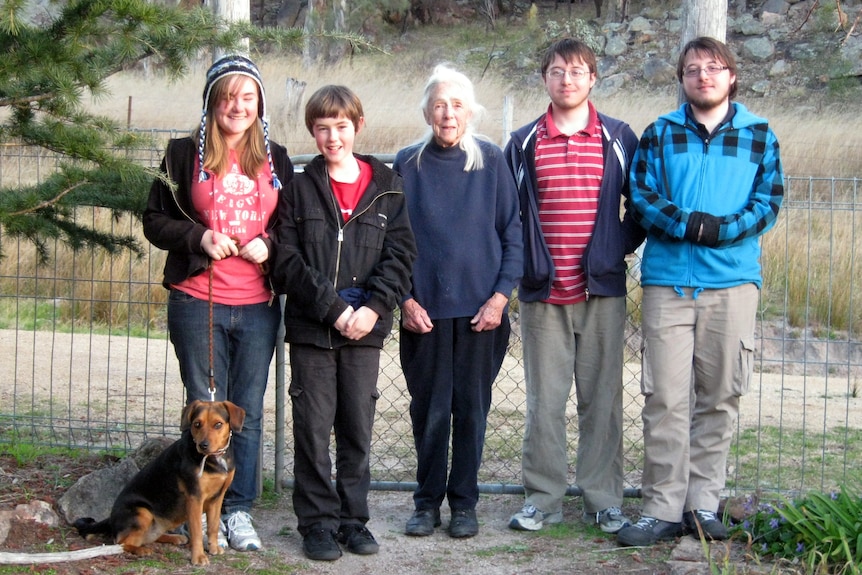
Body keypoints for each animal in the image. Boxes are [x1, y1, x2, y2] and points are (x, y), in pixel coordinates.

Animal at [73, 402, 246, 564]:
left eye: (218, 424)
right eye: (197, 424)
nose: (203, 445)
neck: (214, 459)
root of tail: (110, 518)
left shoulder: (217, 497)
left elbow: (213, 526)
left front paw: (213, 547)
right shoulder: (195, 498)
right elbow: (197, 531)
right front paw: (198, 557)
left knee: (146, 537)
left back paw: (174, 538)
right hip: (143, 512)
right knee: (120, 542)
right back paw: (141, 550)